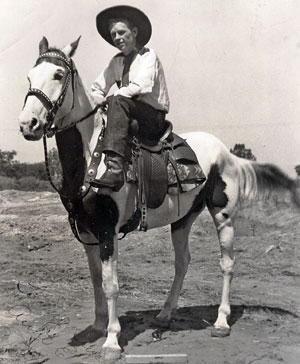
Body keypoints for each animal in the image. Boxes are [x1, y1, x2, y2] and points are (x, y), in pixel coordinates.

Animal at [18, 37, 300, 358]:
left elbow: (111, 284)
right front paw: (97, 326)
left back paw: (221, 322)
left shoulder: (107, 230)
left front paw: (112, 341)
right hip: (183, 219)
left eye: (58, 74)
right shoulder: (88, 233)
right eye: (29, 76)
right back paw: (165, 315)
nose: (28, 124)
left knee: (227, 263)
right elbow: (96, 280)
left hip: (223, 215)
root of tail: (229, 155)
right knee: (182, 262)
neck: (92, 158)